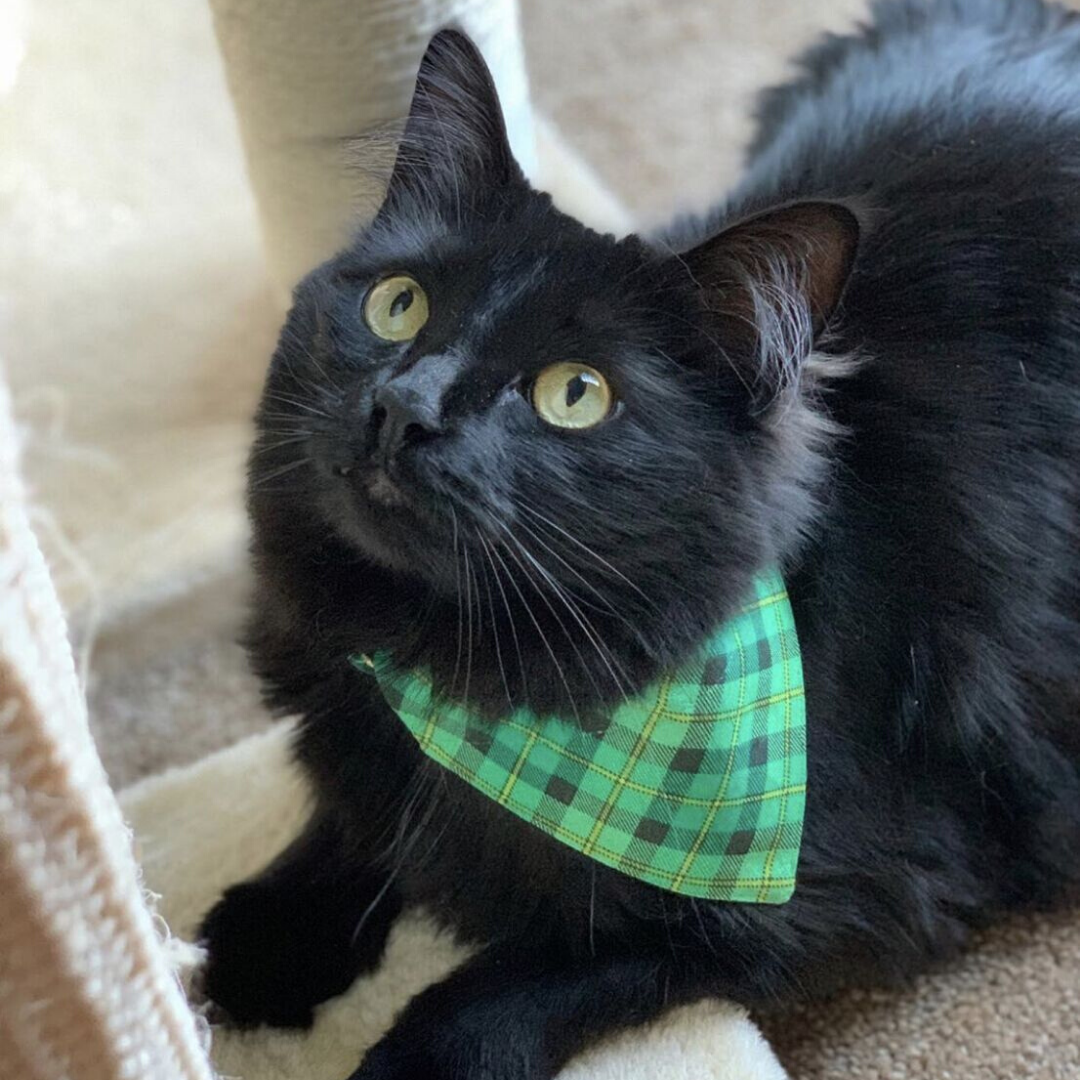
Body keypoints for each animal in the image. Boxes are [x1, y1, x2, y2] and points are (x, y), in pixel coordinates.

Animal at [198, 4, 1080, 1075]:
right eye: (398, 304)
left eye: (575, 395)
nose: (404, 408)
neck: (457, 673)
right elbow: (352, 817)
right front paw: (269, 938)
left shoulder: (852, 890)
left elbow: (526, 977)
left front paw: (412, 1058)